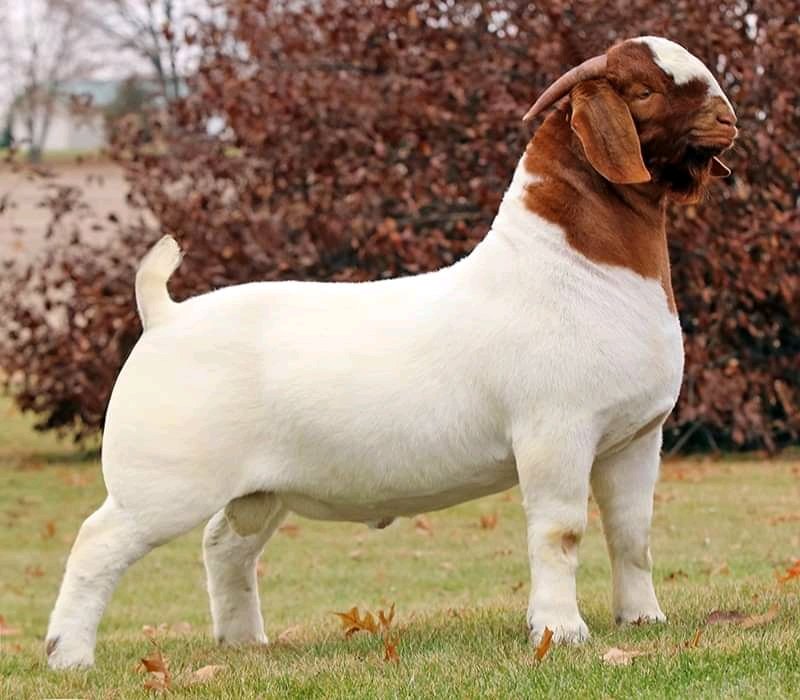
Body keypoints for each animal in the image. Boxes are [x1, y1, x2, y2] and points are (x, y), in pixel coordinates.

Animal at [46, 36, 737, 668]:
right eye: (643, 90)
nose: (728, 117)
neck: (573, 264)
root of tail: (165, 316)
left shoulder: (633, 437)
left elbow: (632, 533)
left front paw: (642, 620)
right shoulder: (555, 432)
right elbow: (560, 531)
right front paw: (559, 632)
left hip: (257, 490)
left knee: (226, 546)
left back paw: (244, 643)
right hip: (161, 481)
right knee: (97, 543)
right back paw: (69, 656)